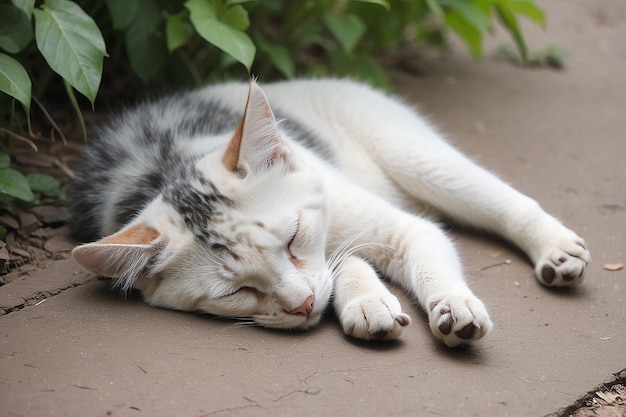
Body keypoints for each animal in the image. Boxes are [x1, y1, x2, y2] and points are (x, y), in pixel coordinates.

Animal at [69, 77, 588, 344]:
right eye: (235, 292)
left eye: (293, 237)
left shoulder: (398, 227)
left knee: (503, 199)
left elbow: (417, 248)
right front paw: (367, 300)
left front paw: (452, 306)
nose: (301, 306)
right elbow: (343, 264)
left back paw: (556, 249)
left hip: (412, 154)